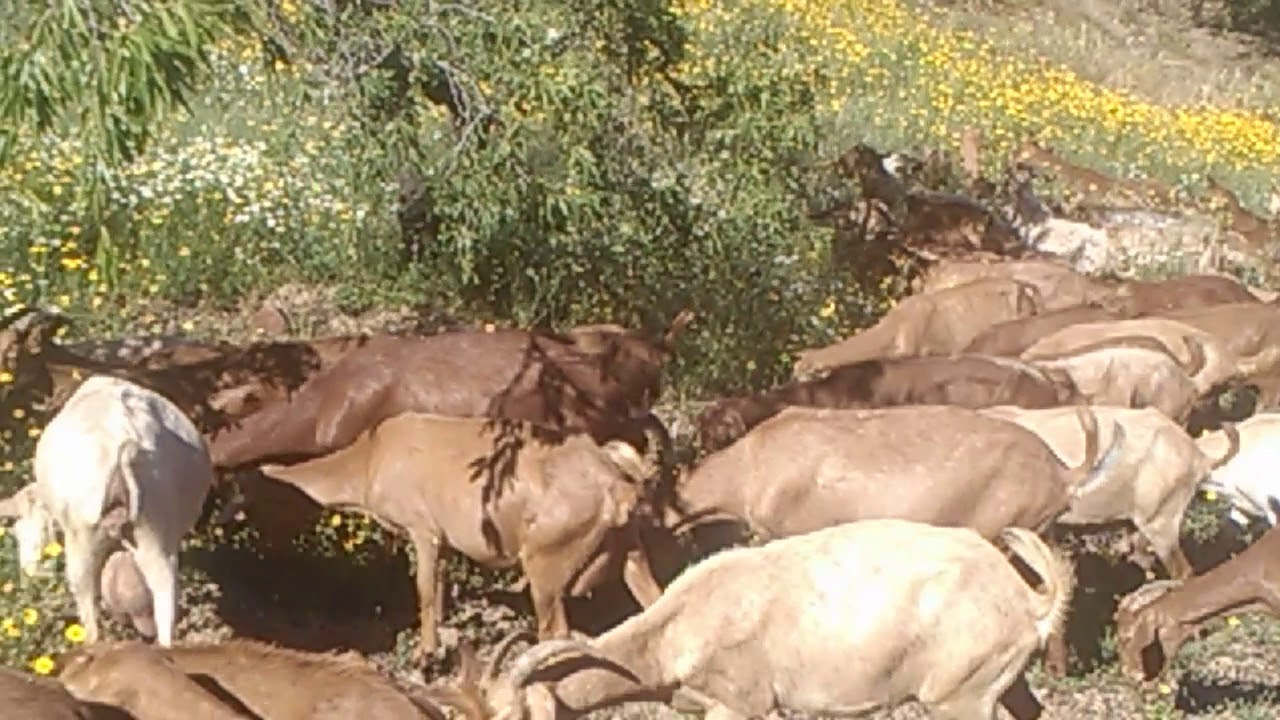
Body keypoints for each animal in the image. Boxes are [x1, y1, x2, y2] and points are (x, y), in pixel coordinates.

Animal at [0, 375, 214, 646]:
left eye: (18, 532)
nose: (29, 575)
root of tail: (125, 438)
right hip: (155, 524)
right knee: (165, 593)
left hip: (83, 534)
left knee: (88, 607)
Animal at [251, 412, 666, 656]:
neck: (369, 459)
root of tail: (617, 485)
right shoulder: (447, 540)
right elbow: (439, 585)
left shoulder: (423, 529)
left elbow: (423, 589)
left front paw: (426, 654)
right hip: (629, 549)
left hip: (546, 561)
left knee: (556, 631)